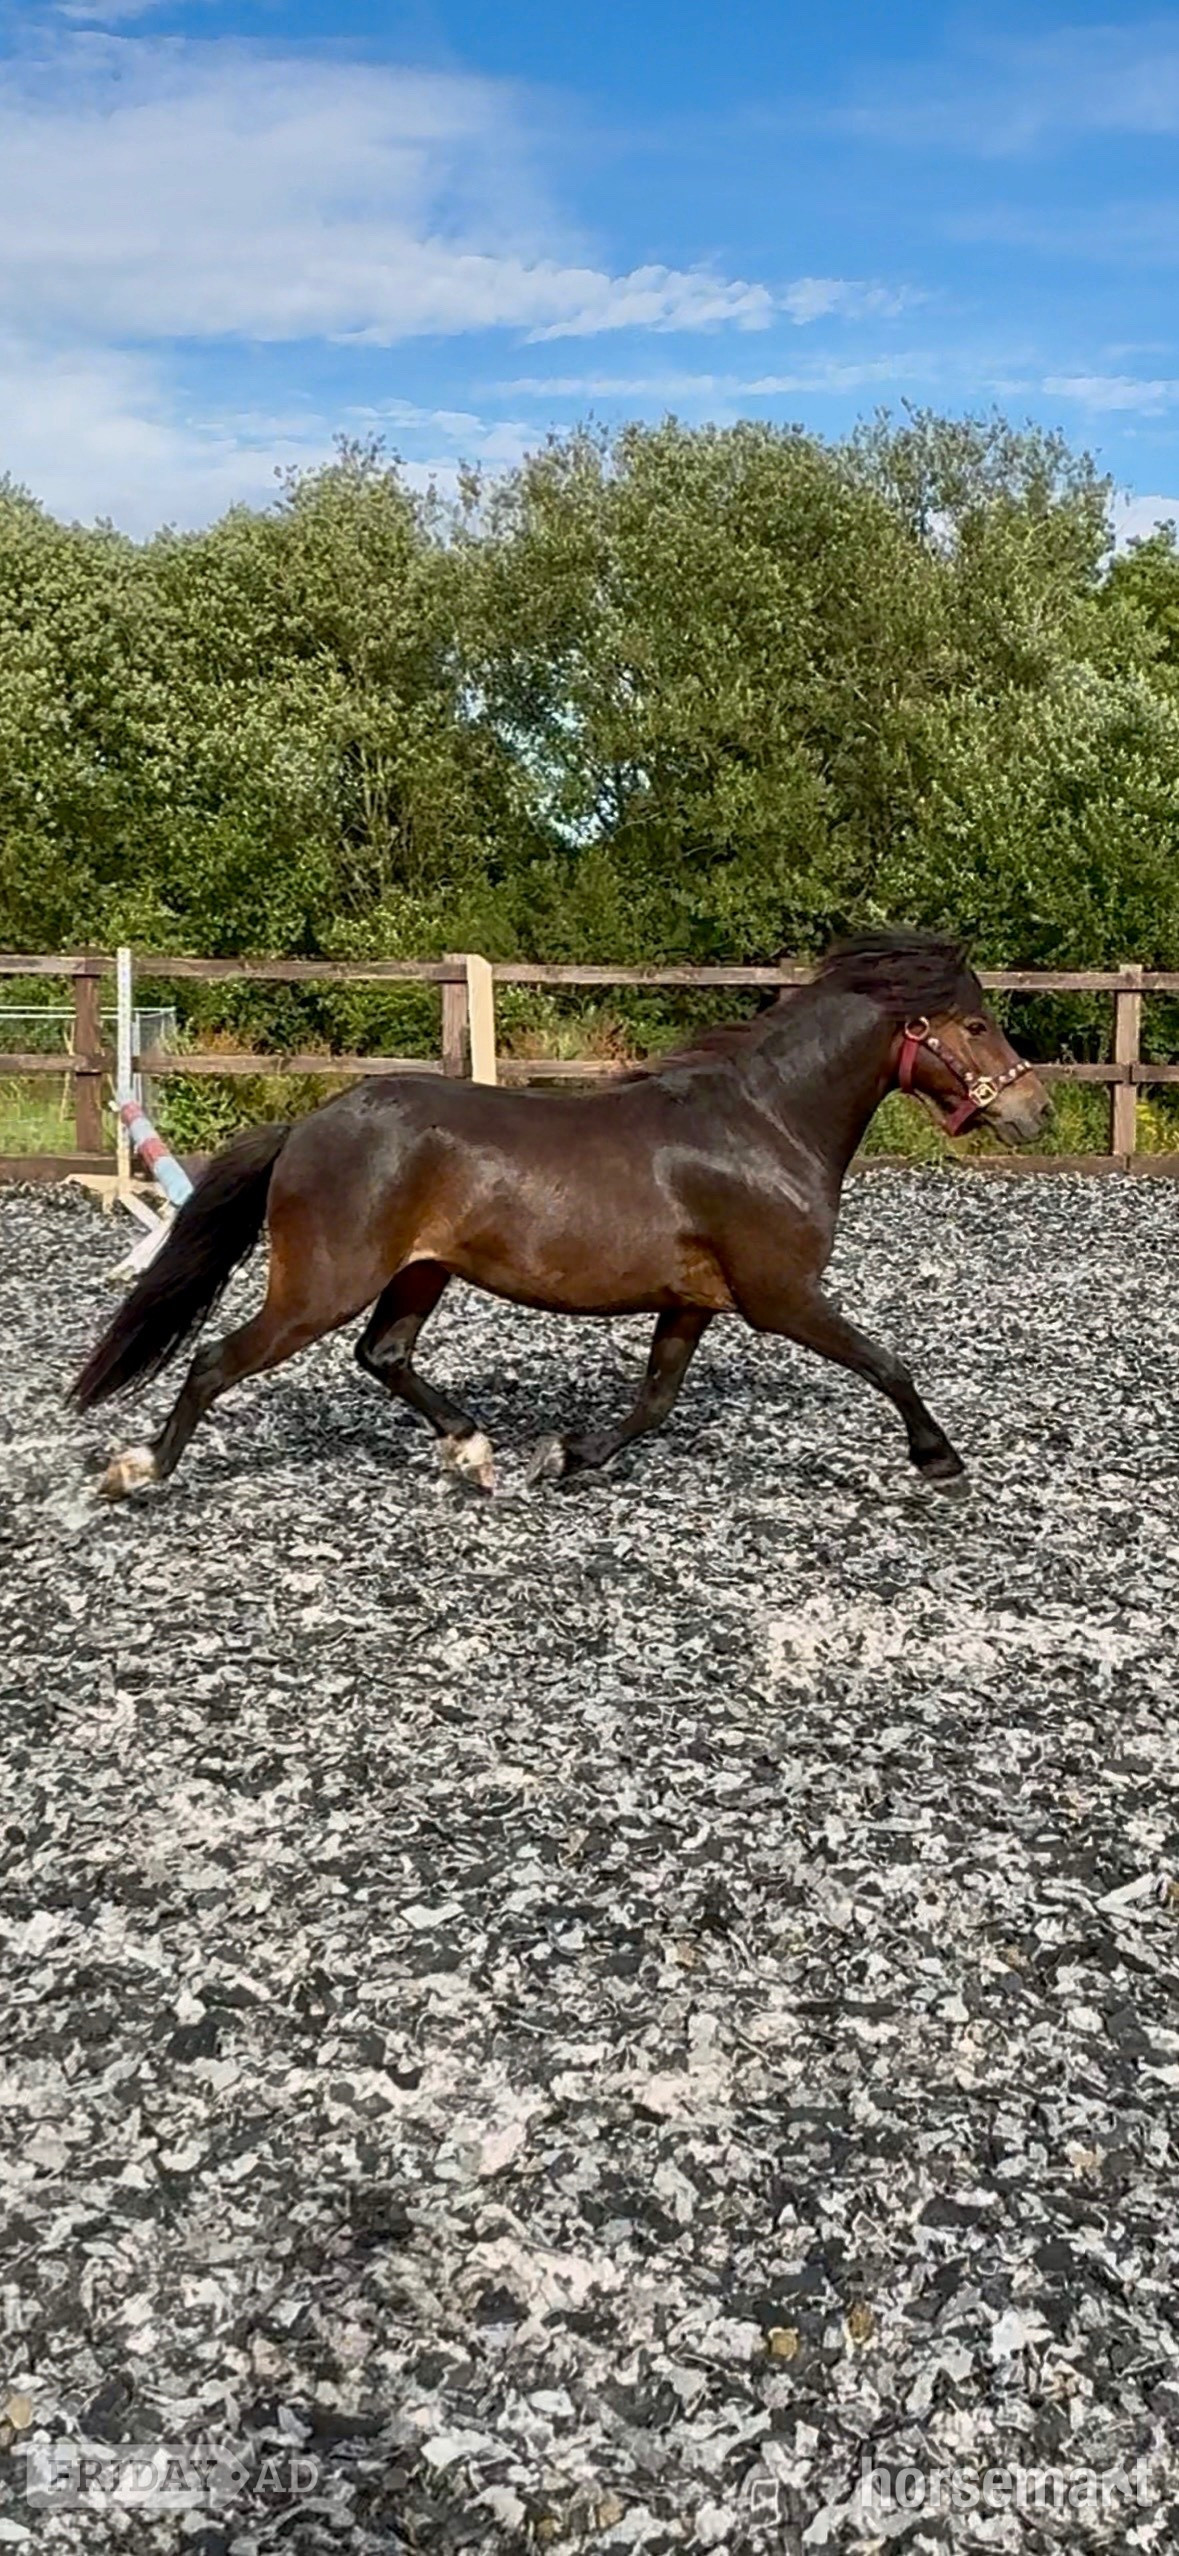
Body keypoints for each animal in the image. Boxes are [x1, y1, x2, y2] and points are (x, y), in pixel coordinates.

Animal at [71, 929, 1048, 1501]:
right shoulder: (782, 1297)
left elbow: (654, 1400)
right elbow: (886, 1364)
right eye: (974, 1024)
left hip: (420, 1273)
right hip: (322, 1286)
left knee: (382, 1355)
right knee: (214, 1361)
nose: (1033, 1112)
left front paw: (568, 1456)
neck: (766, 1125)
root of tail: (310, 1122)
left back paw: (473, 1453)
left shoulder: (692, 1301)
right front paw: (939, 1460)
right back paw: (137, 1471)